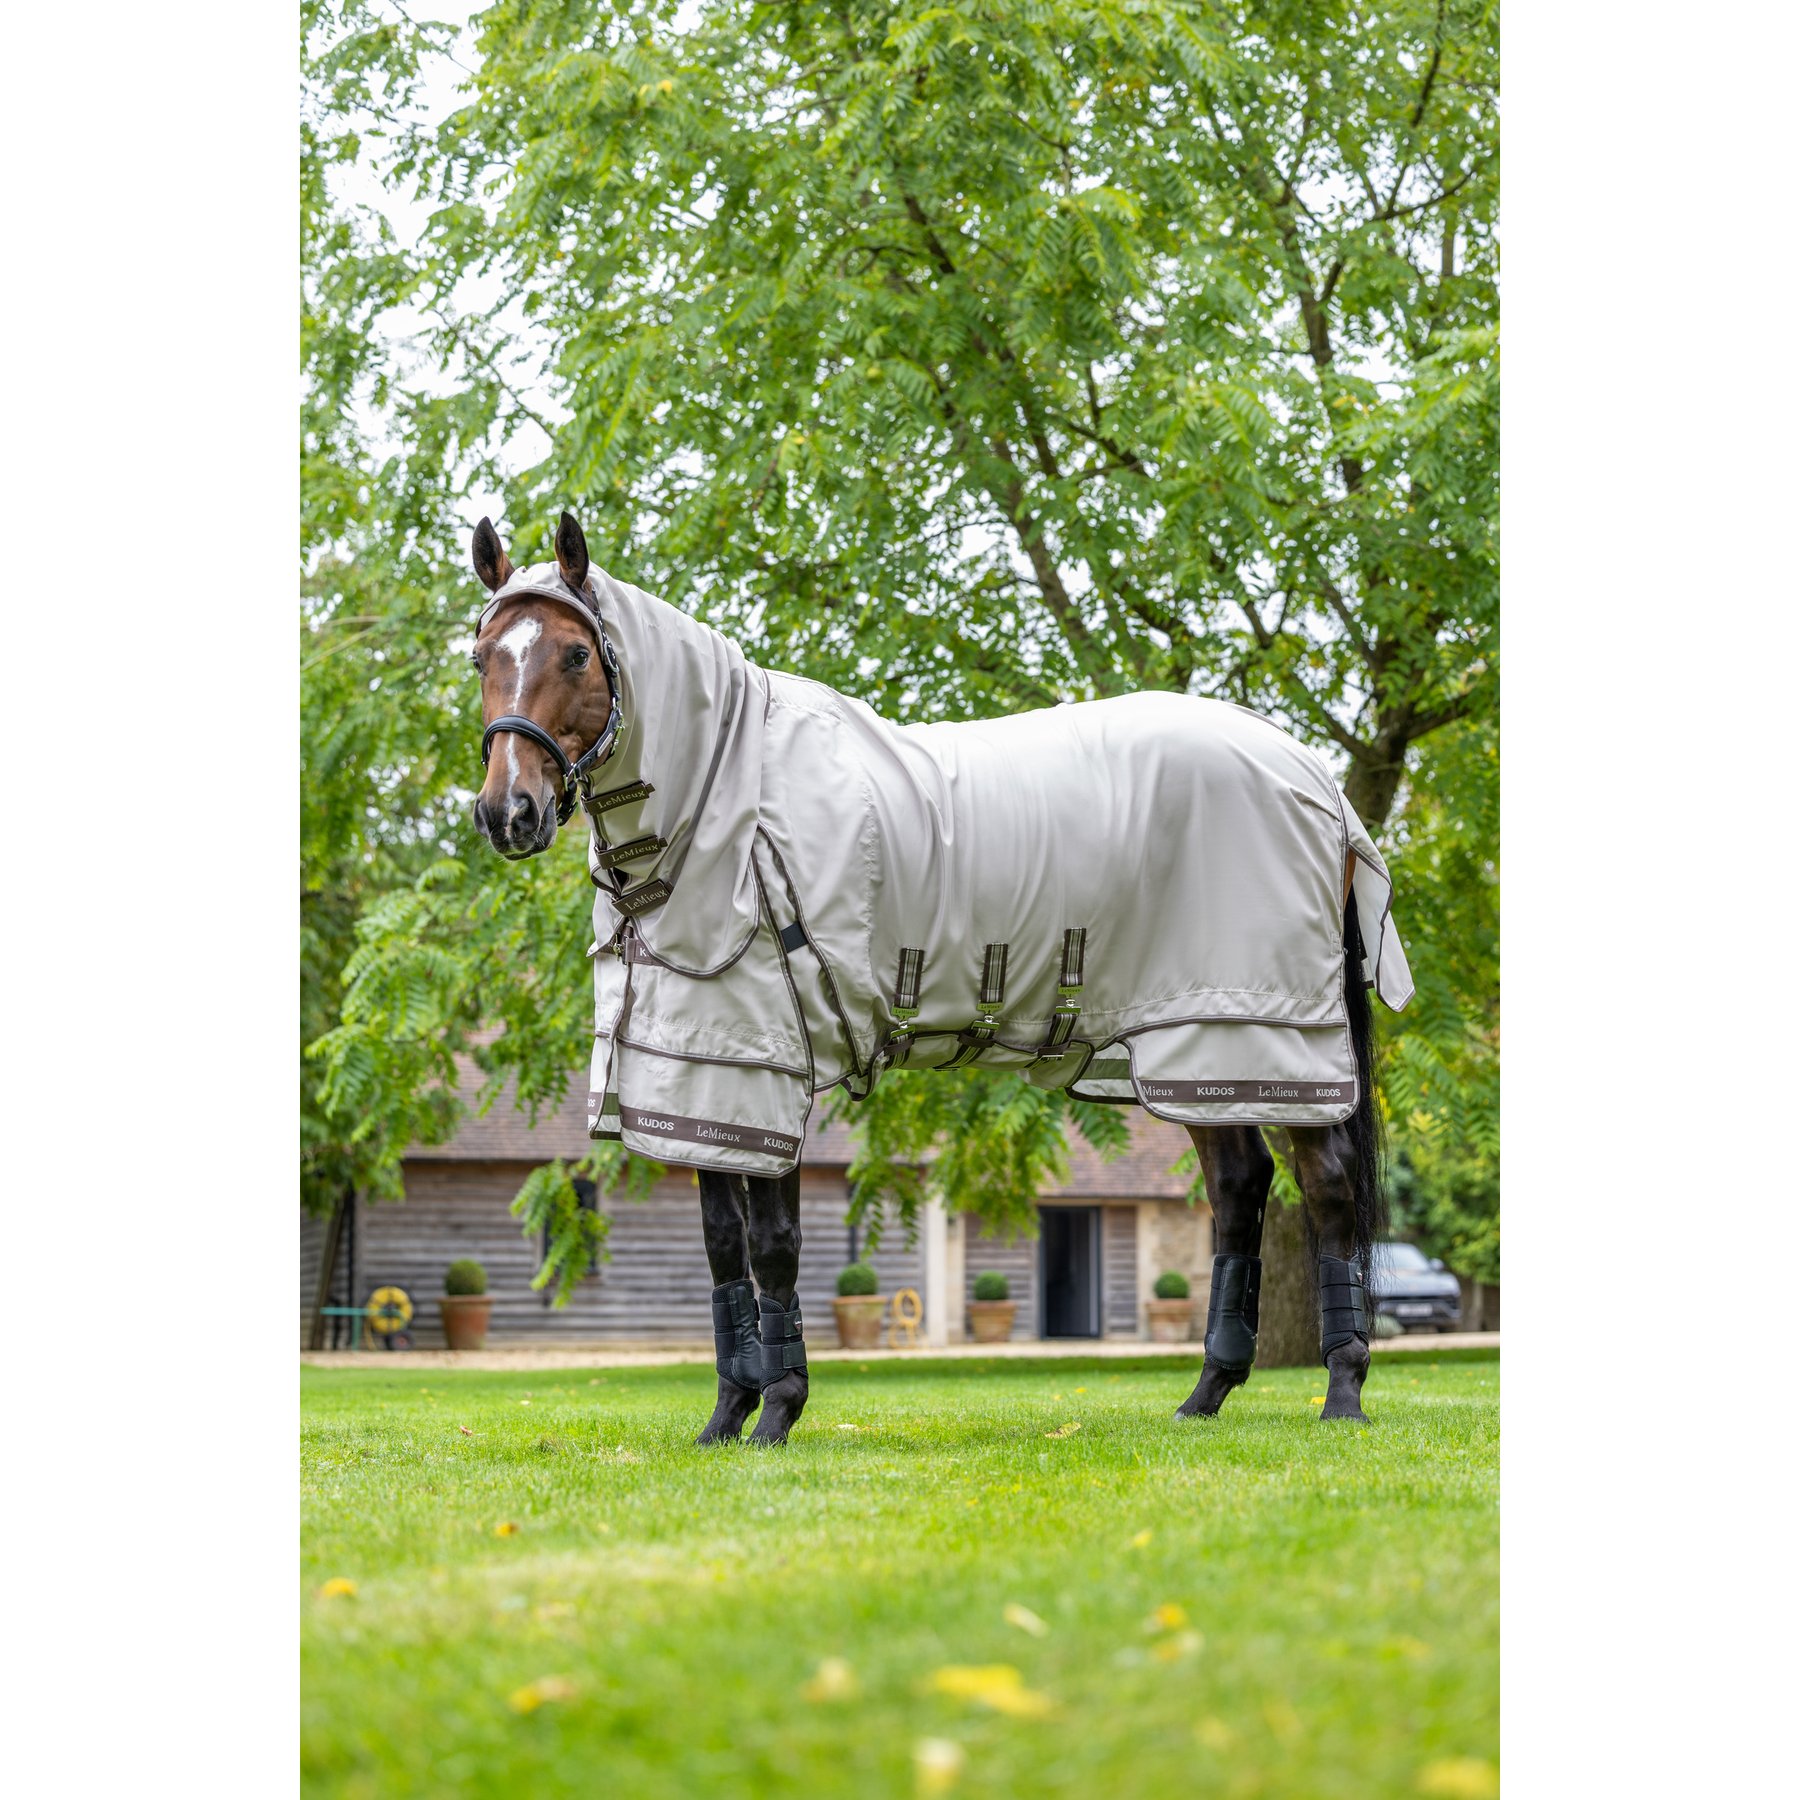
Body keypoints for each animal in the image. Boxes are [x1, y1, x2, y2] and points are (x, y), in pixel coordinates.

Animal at [467, 511, 1411, 1445]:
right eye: (481, 657)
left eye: (575, 655)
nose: (509, 814)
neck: (727, 809)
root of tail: (1317, 781)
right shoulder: (703, 1075)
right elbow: (720, 1244)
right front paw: (726, 1419)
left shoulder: (768, 1066)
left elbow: (773, 1243)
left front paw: (776, 1414)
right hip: (1192, 1046)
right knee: (1239, 1187)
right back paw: (1207, 1394)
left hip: (1264, 1036)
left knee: (1326, 1187)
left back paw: (1343, 1394)